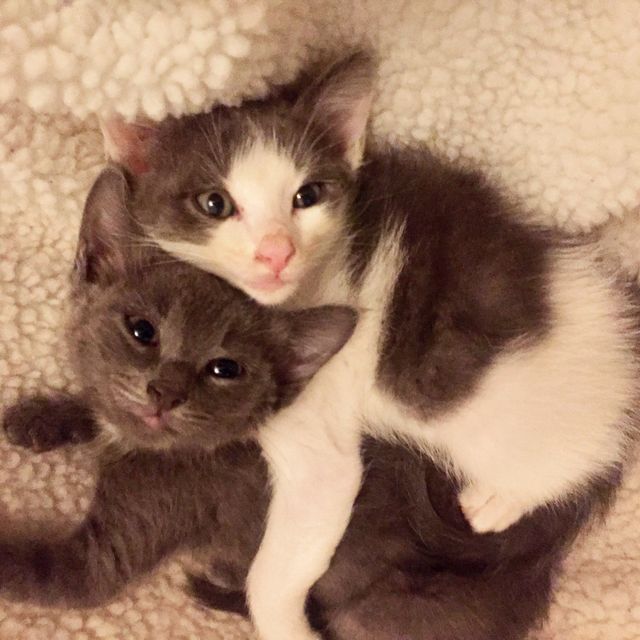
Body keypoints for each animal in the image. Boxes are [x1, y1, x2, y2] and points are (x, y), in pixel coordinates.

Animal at [0, 161, 612, 640]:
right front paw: (41, 418)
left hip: (393, 607)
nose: (164, 392)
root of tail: (536, 569)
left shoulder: (123, 541)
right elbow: (96, 404)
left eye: (225, 369)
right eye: (141, 331)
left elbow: (60, 576)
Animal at [100, 55, 640, 640]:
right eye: (214, 203)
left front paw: (285, 625)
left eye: (306, 196)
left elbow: (281, 559)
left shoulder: (316, 416)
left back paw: (499, 498)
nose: (276, 252)